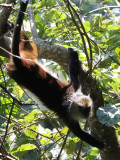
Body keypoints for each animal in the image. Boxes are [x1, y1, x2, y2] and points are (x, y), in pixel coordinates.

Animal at [6, 0, 104, 149]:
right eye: (83, 110)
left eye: (88, 109)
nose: (88, 115)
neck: (71, 100)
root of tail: (21, 64)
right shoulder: (67, 114)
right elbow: (79, 133)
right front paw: (101, 144)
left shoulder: (75, 89)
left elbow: (73, 76)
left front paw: (73, 54)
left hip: (28, 58)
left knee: (29, 47)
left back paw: (13, 28)